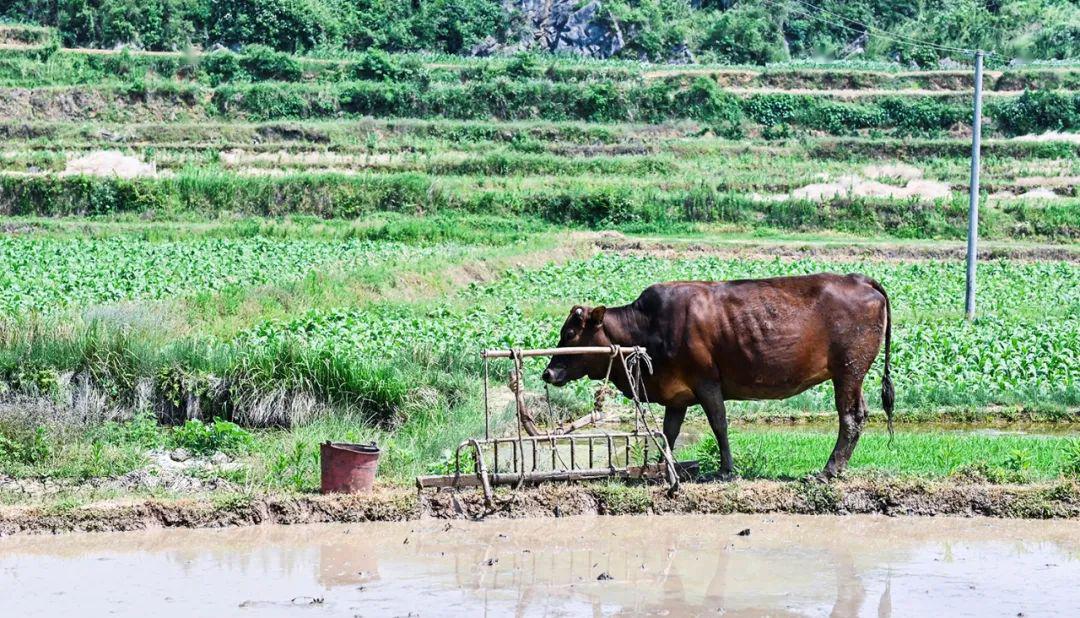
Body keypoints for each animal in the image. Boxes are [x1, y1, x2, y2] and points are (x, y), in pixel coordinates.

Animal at [540, 272, 894, 479]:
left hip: (848, 370)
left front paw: (726, 470)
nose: (548, 372)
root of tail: (860, 279)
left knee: (849, 417)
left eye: (570, 333)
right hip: (851, 374)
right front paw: (661, 467)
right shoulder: (677, 394)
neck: (646, 326)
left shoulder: (706, 381)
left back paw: (828, 471)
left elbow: (719, 424)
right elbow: (669, 433)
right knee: (859, 414)